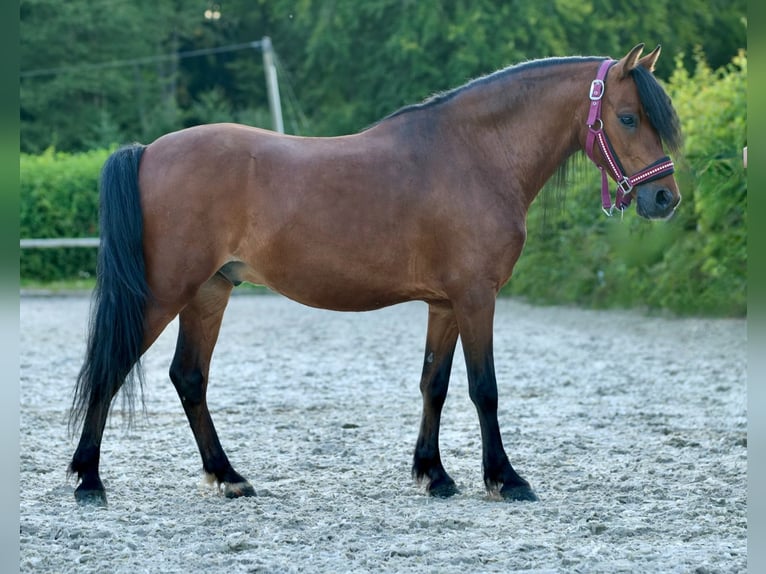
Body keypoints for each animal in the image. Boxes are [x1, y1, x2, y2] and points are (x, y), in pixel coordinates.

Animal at [70, 42, 684, 506]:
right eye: (628, 117)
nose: (664, 198)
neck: (475, 154)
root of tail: (149, 151)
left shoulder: (445, 304)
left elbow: (434, 384)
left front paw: (434, 474)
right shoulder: (476, 298)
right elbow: (484, 389)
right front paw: (505, 479)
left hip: (209, 292)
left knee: (189, 378)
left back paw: (229, 477)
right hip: (165, 292)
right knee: (111, 367)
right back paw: (88, 481)